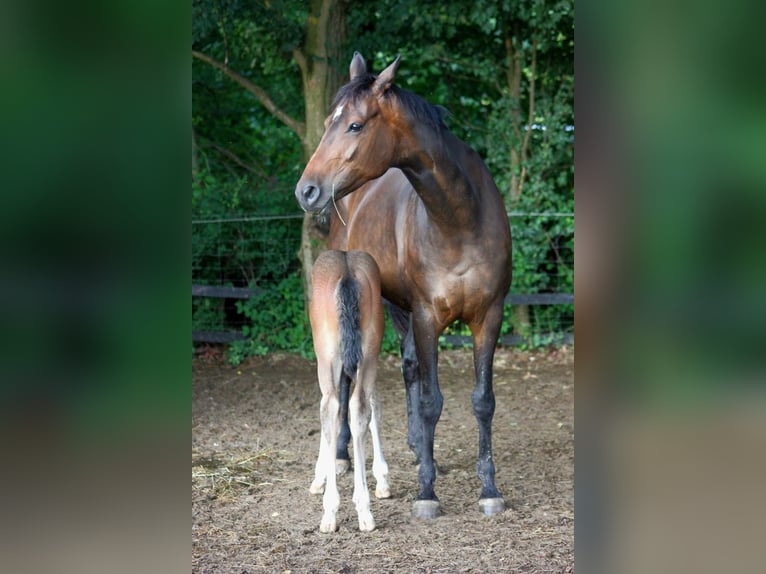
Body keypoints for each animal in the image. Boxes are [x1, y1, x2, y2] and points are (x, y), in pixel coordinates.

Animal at [296, 53, 512, 520]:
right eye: (327, 121)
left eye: (355, 125)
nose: (306, 190)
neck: (459, 221)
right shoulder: (428, 315)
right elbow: (431, 401)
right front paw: (427, 493)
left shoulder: (489, 316)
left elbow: (482, 400)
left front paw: (488, 488)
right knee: (352, 384)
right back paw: (342, 457)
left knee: (409, 368)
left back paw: (415, 448)